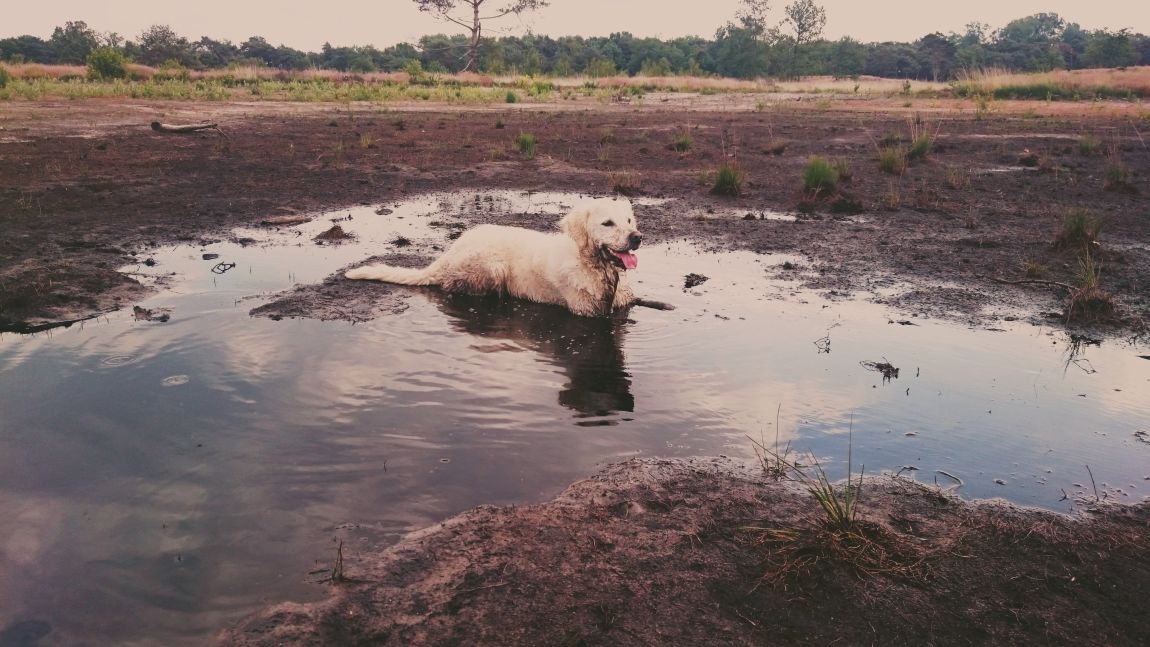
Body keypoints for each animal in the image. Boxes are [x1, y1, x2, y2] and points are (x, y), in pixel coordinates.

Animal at [345, 198, 652, 317]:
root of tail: (449, 251)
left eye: (628, 220)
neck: (598, 268)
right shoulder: (586, 311)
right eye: (607, 223)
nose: (637, 237)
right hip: (492, 268)